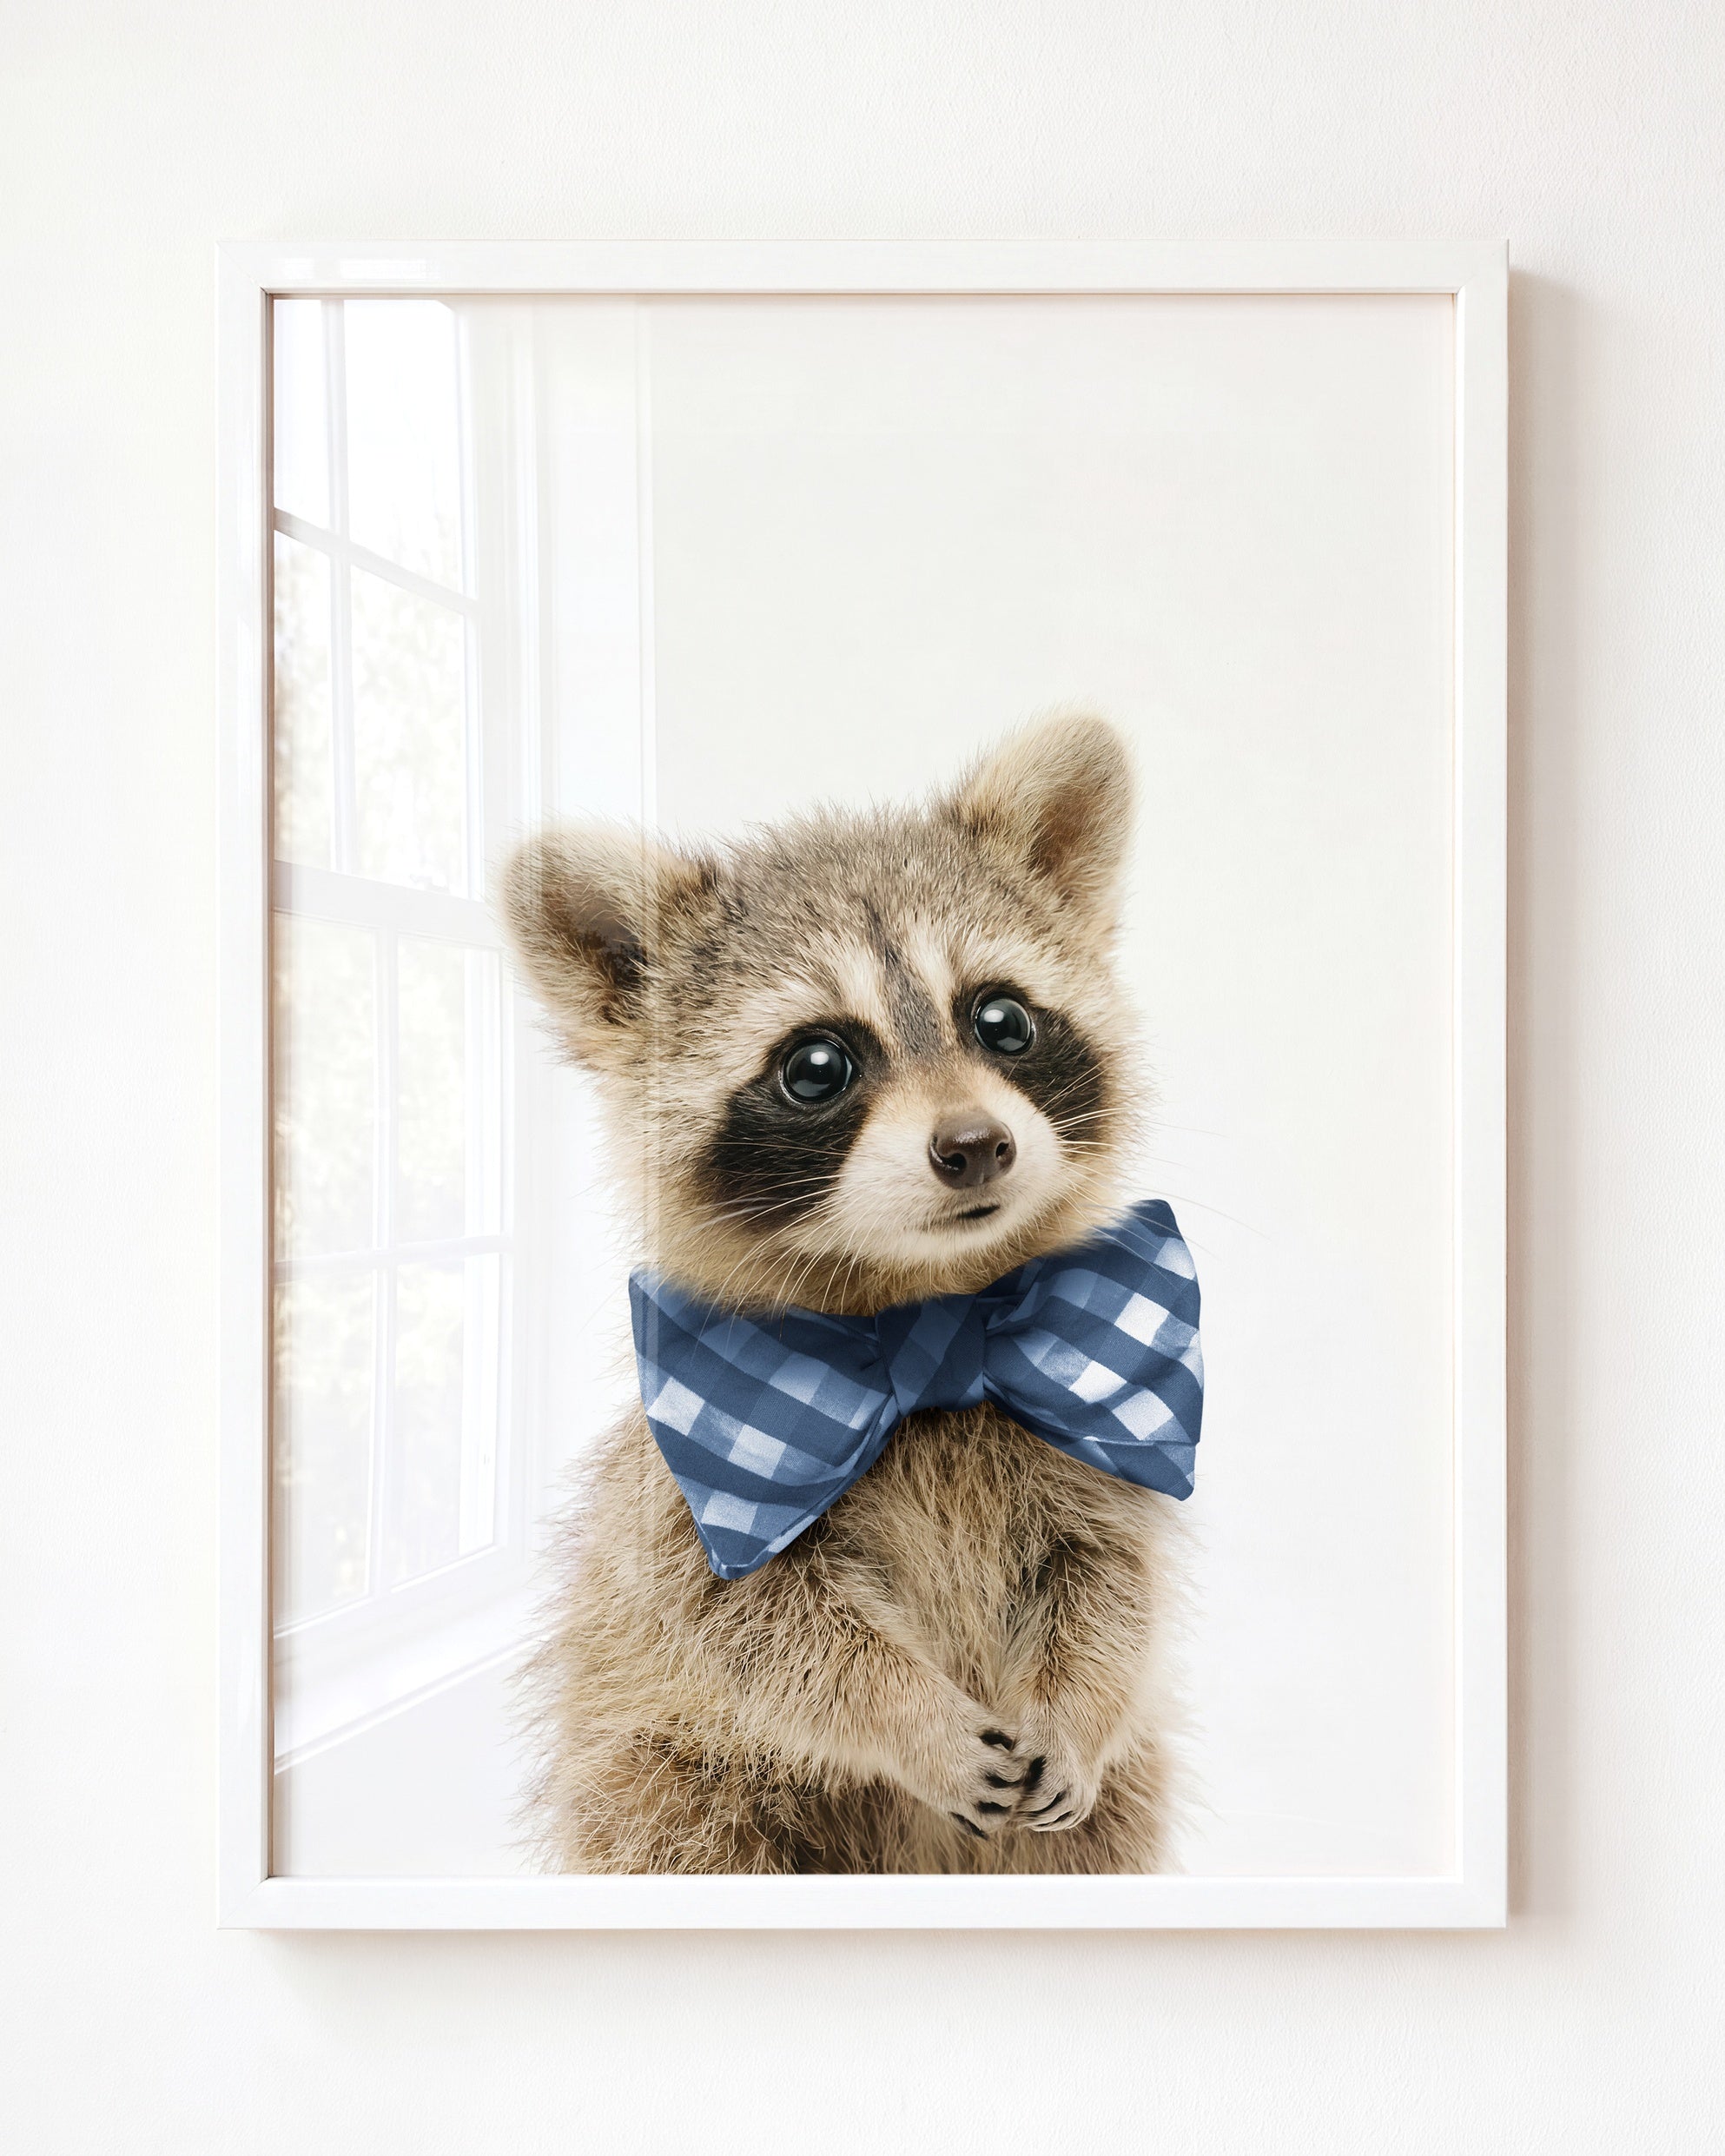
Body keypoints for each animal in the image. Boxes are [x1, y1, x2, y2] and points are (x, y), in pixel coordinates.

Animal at [502, 713, 1188, 1874]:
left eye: (1002, 1019)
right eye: (817, 1065)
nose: (976, 1145)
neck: (931, 1312)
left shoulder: (1090, 1439)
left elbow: (1111, 1580)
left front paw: (1079, 1703)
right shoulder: (690, 1495)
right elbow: (758, 1632)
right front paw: (910, 1717)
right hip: (661, 1779)